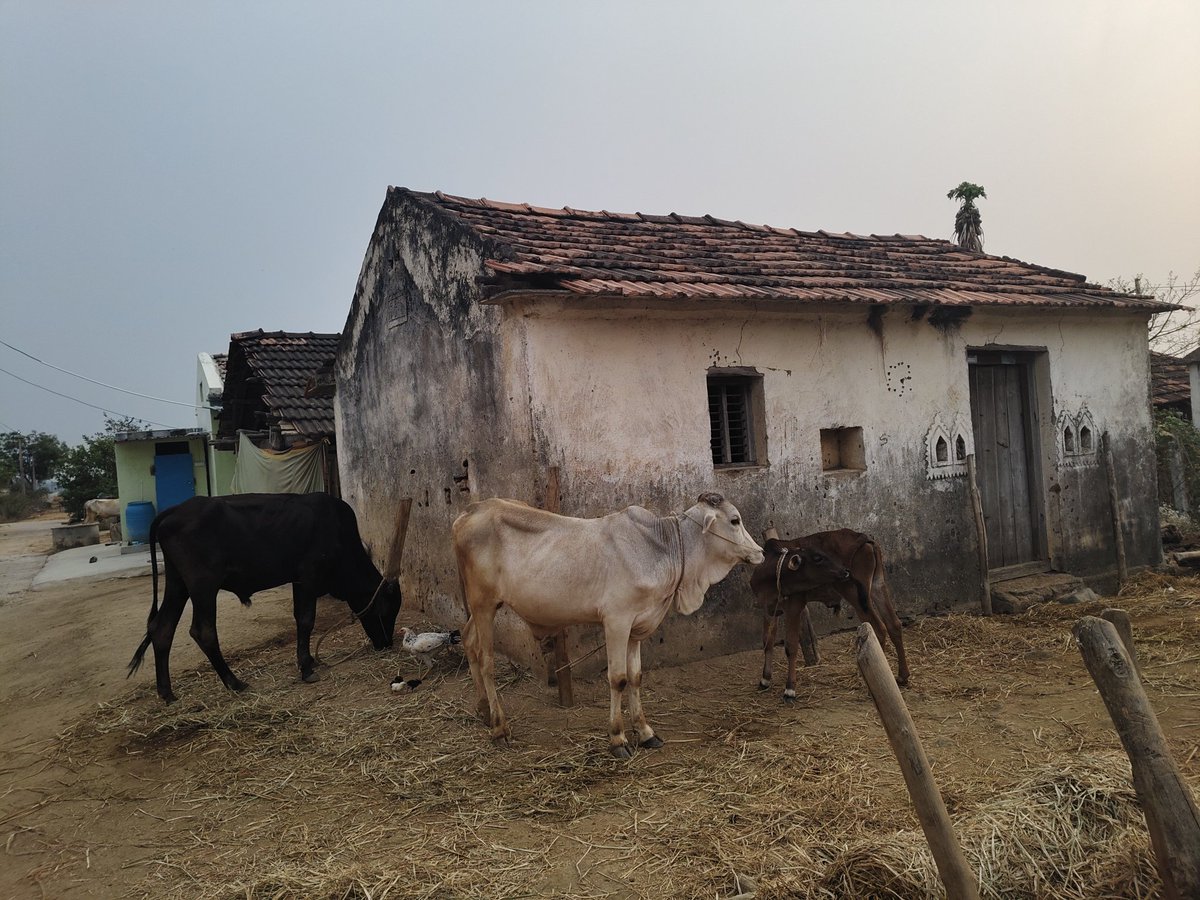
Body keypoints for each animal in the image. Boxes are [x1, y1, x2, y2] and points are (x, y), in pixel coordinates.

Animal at [127, 492, 403, 703]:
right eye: (387, 610)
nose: (386, 643)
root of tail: (175, 510)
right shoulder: (309, 576)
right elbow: (306, 620)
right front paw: (307, 668)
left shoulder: (297, 580)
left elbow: (299, 619)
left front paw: (308, 661)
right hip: (203, 586)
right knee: (203, 631)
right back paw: (234, 682)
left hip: (177, 584)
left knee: (162, 628)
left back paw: (167, 693)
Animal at [453, 491, 764, 758]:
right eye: (734, 520)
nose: (760, 551)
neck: (663, 547)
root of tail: (470, 511)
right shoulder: (616, 622)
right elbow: (618, 678)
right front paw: (618, 739)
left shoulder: (638, 626)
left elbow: (636, 676)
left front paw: (646, 733)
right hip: (483, 604)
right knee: (486, 661)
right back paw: (499, 728)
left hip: (484, 608)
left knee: (468, 641)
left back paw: (483, 710)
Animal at [751, 529, 909, 701]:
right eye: (818, 558)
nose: (845, 571)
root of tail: (864, 537)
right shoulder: (768, 609)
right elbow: (767, 641)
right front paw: (765, 679)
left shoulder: (794, 607)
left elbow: (791, 646)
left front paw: (789, 690)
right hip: (877, 585)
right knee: (894, 624)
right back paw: (902, 676)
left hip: (855, 594)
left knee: (879, 628)